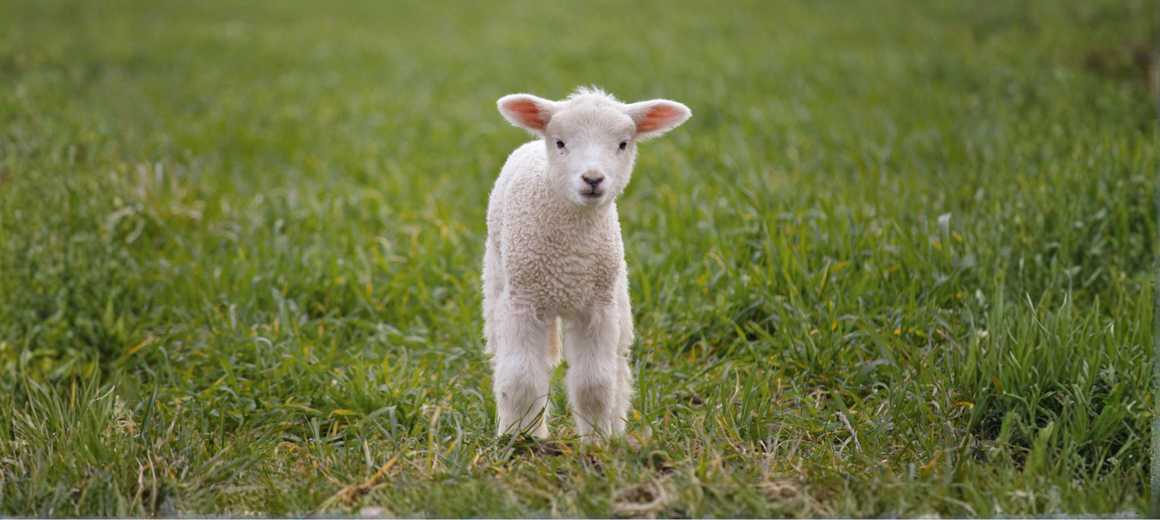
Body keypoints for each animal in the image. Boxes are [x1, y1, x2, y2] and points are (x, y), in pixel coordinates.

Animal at [482, 87, 691, 439]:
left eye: (623, 144)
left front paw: (598, 440)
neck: (570, 261)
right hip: (498, 280)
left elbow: (594, 383)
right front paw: (521, 439)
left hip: (618, 295)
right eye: (560, 142)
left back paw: (618, 428)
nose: (593, 179)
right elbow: (520, 378)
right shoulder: (522, 303)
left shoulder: (598, 309)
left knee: (618, 365)